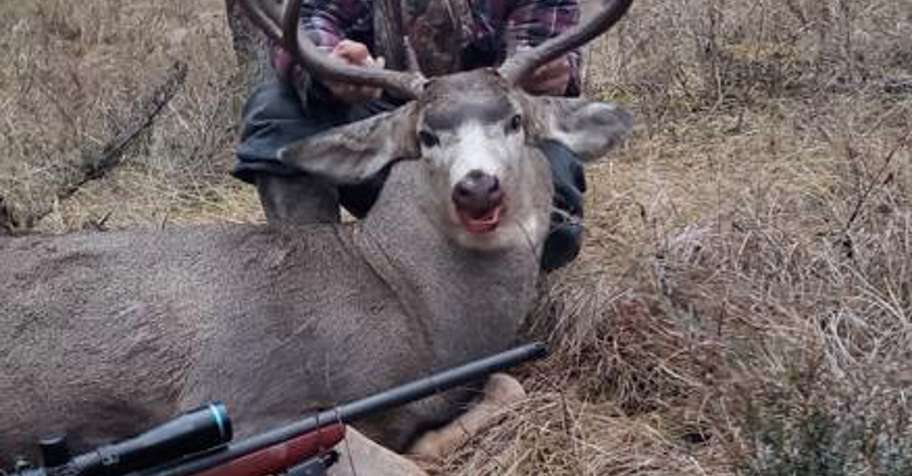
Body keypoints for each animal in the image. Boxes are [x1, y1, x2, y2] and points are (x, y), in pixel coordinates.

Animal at [0, 0, 635, 473]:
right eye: (427, 135)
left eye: (515, 120)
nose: (477, 187)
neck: (412, 305)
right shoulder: (247, 397)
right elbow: (402, 462)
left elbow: (507, 384)